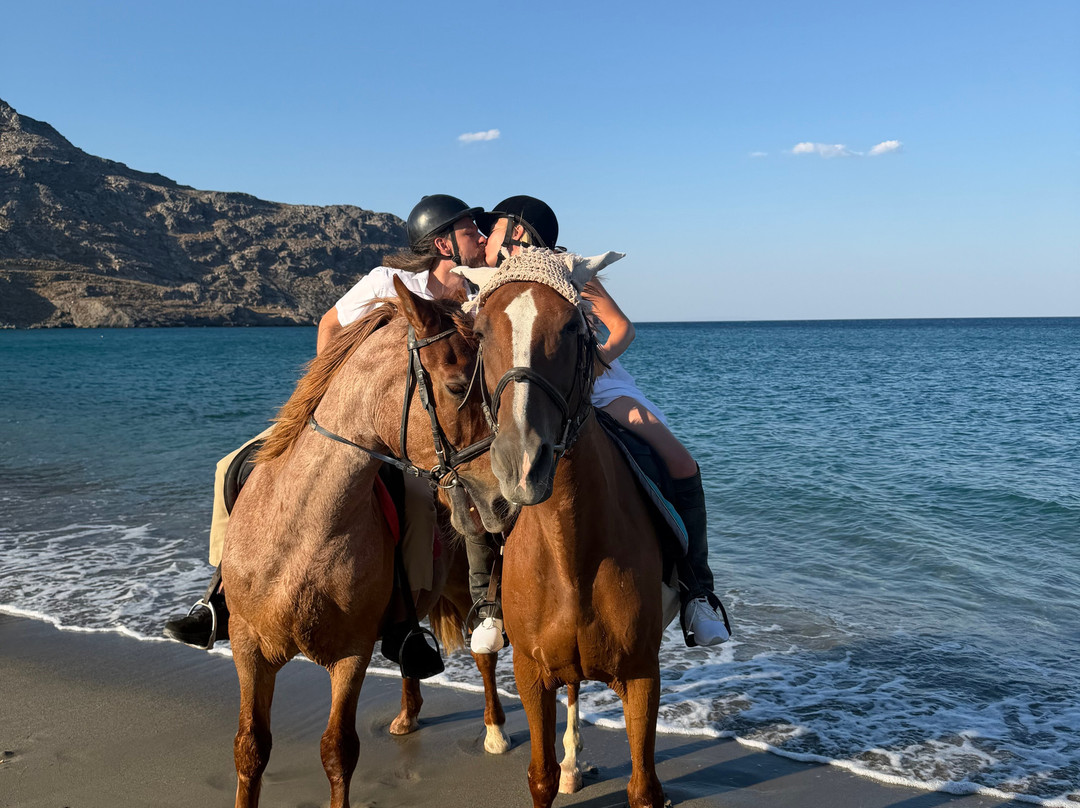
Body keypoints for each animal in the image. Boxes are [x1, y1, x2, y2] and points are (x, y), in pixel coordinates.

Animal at [220, 278, 513, 808]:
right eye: (458, 387)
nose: (502, 500)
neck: (299, 536)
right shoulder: (248, 647)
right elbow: (250, 748)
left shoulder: (350, 654)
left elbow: (338, 751)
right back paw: (407, 715)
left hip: (465, 593)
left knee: (485, 654)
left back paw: (495, 730)